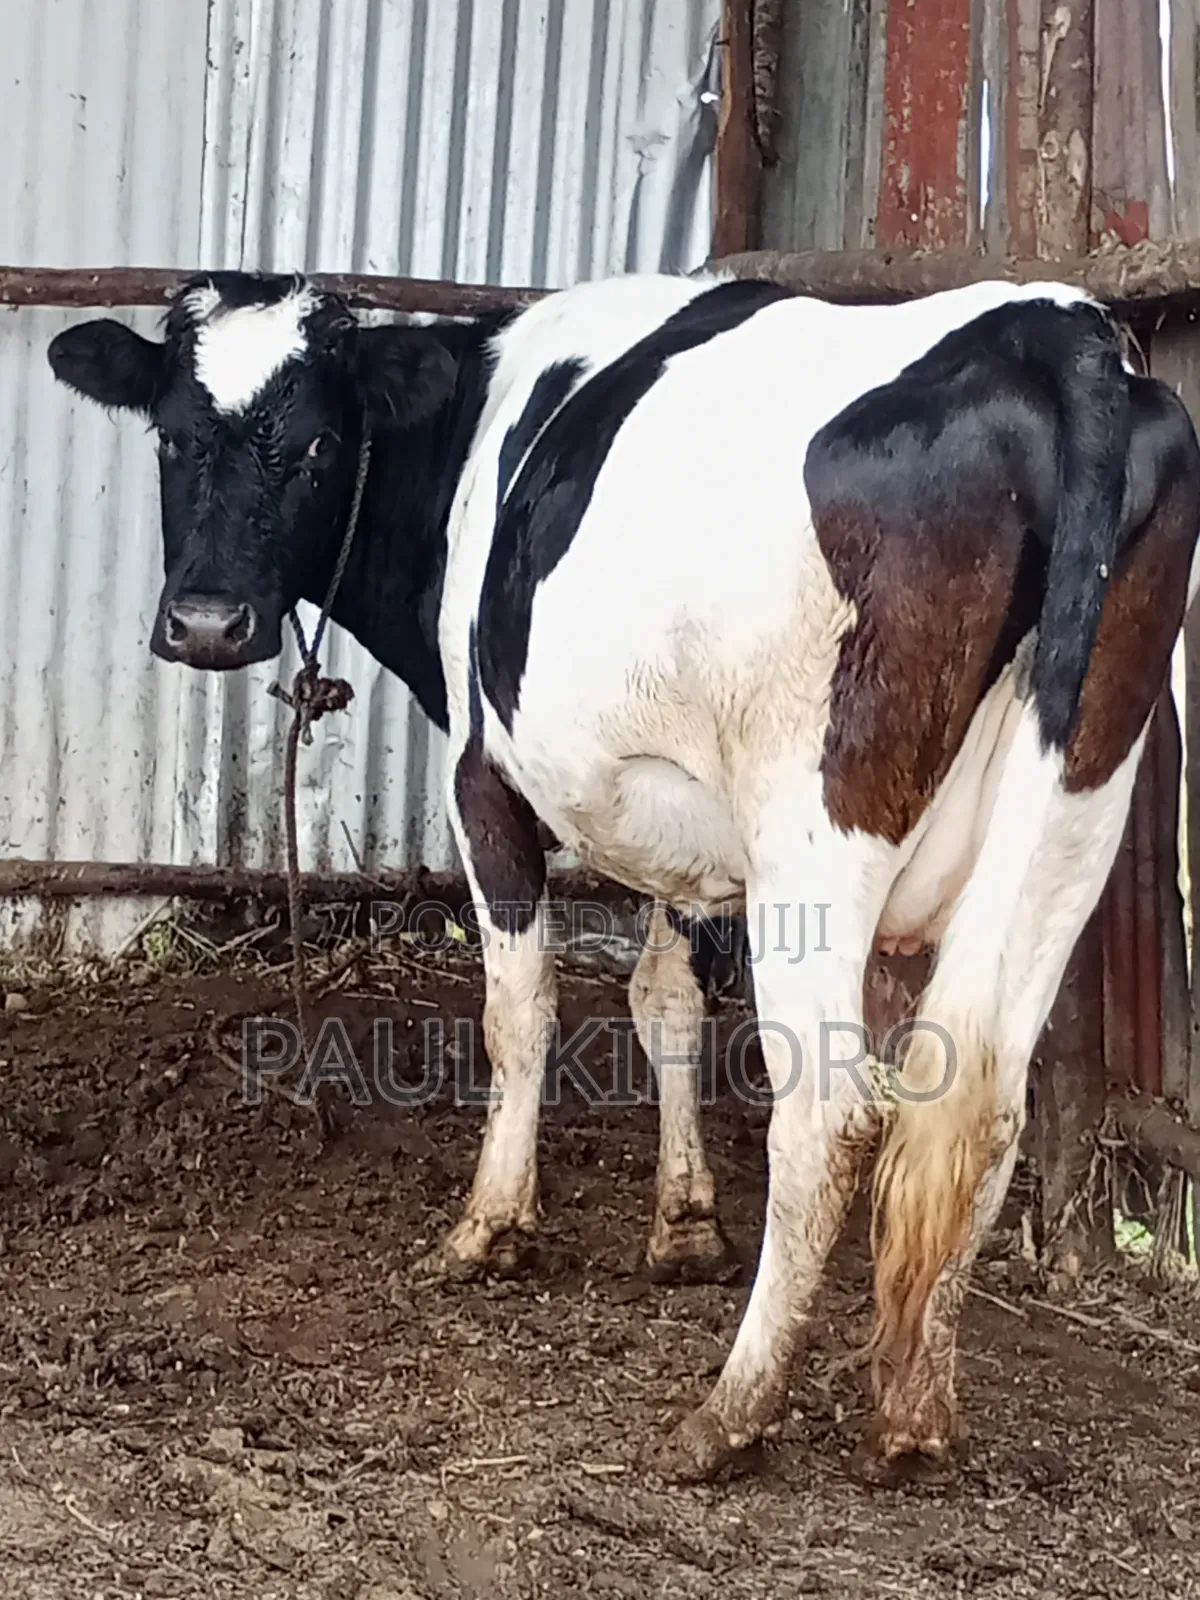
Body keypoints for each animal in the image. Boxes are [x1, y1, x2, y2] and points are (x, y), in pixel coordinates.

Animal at [48, 268, 1200, 1483]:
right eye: (172, 436)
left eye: (319, 442)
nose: (208, 623)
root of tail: (1058, 328)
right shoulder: (684, 825)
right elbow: (666, 1002)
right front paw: (684, 1221)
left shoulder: (483, 775)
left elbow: (522, 1011)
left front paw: (491, 1227)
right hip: (1078, 811)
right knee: (979, 1101)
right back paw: (914, 1410)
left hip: (817, 837)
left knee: (830, 1117)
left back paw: (733, 1408)